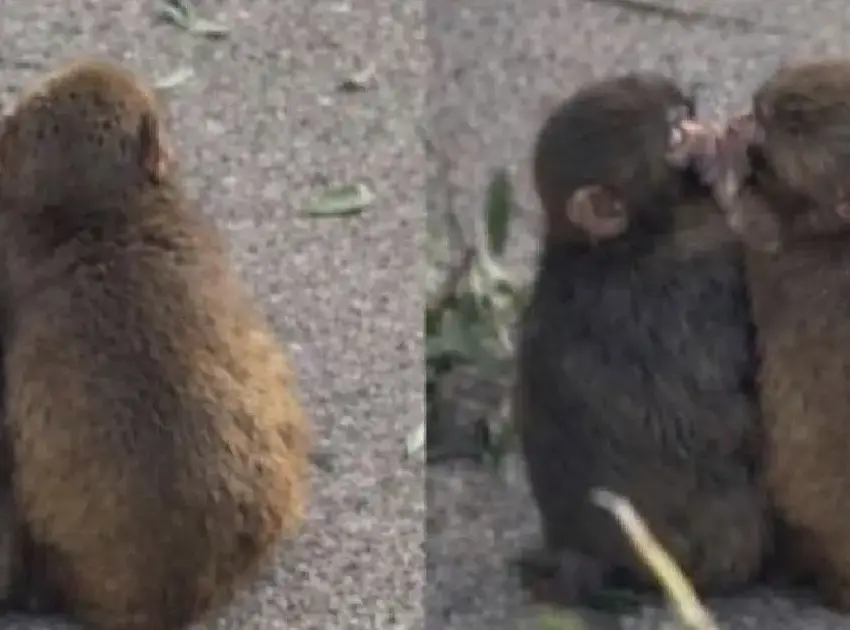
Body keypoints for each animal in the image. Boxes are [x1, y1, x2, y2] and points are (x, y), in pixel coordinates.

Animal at [512, 72, 771, 607]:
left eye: (687, 114)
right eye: (676, 134)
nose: (713, 131)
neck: (614, 245)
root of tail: (581, 552)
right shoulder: (696, 271)